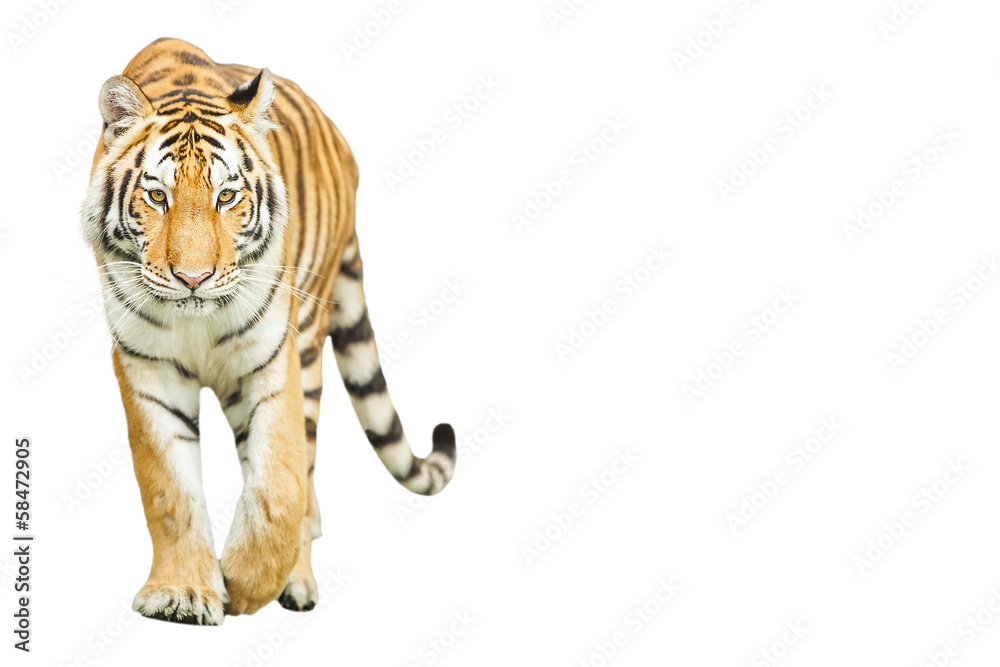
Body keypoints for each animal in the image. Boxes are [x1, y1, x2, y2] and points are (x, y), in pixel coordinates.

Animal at [80, 38, 456, 625]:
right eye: (158, 197)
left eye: (226, 197)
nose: (193, 278)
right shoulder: (148, 369)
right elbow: (168, 486)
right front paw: (181, 595)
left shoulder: (273, 359)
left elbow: (280, 481)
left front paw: (250, 582)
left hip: (311, 341)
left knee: (306, 461)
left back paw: (298, 576)